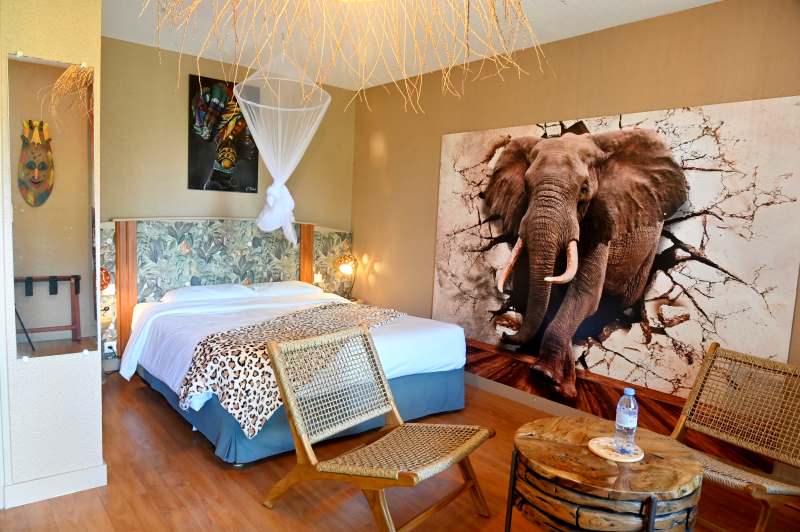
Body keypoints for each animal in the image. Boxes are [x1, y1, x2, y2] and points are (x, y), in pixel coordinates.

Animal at [482, 129, 689, 398]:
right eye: (526, 186)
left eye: (584, 189)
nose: (506, 333)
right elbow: (542, 292)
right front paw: (557, 379)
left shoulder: (601, 221)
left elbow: (585, 294)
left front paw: (547, 376)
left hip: (648, 247)